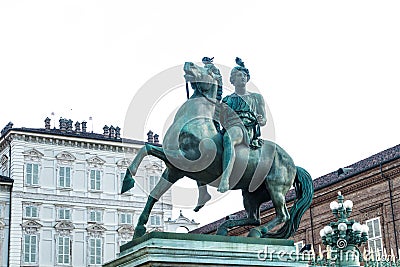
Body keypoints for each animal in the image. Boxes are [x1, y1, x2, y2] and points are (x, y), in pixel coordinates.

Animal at [120, 61, 314, 240]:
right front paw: (139, 229)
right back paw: (225, 228)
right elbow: (154, 193)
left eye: (210, 70)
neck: (196, 120)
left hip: (275, 187)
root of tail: (293, 165)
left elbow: (146, 148)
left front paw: (127, 181)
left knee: (282, 215)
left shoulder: (186, 160)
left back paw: (257, 232)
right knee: (255, 218)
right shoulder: (174, 170)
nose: (188, 63)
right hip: (251, 193)